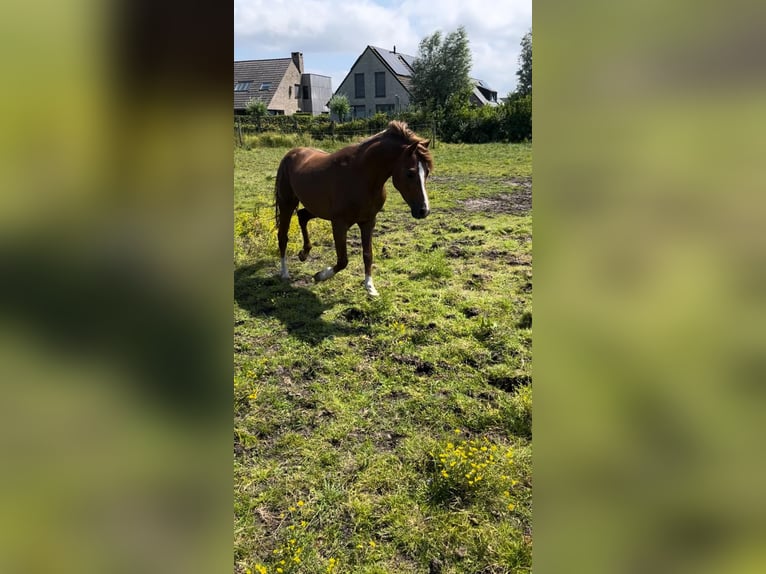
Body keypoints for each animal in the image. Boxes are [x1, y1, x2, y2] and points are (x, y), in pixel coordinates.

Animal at [274, 121, 436, 296]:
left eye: (427, 172)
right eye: (410, 173)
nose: (424, 210)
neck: (361, 176)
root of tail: (291, 154)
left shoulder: (368, 221)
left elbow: (368, 254)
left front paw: (370, 287)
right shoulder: (339, 223)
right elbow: (343, 260)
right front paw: (320, 276)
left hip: (316, 208)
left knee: (302, 216)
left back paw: (304, 253)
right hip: (286, 204)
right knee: (282, 236)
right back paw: (285, 273)